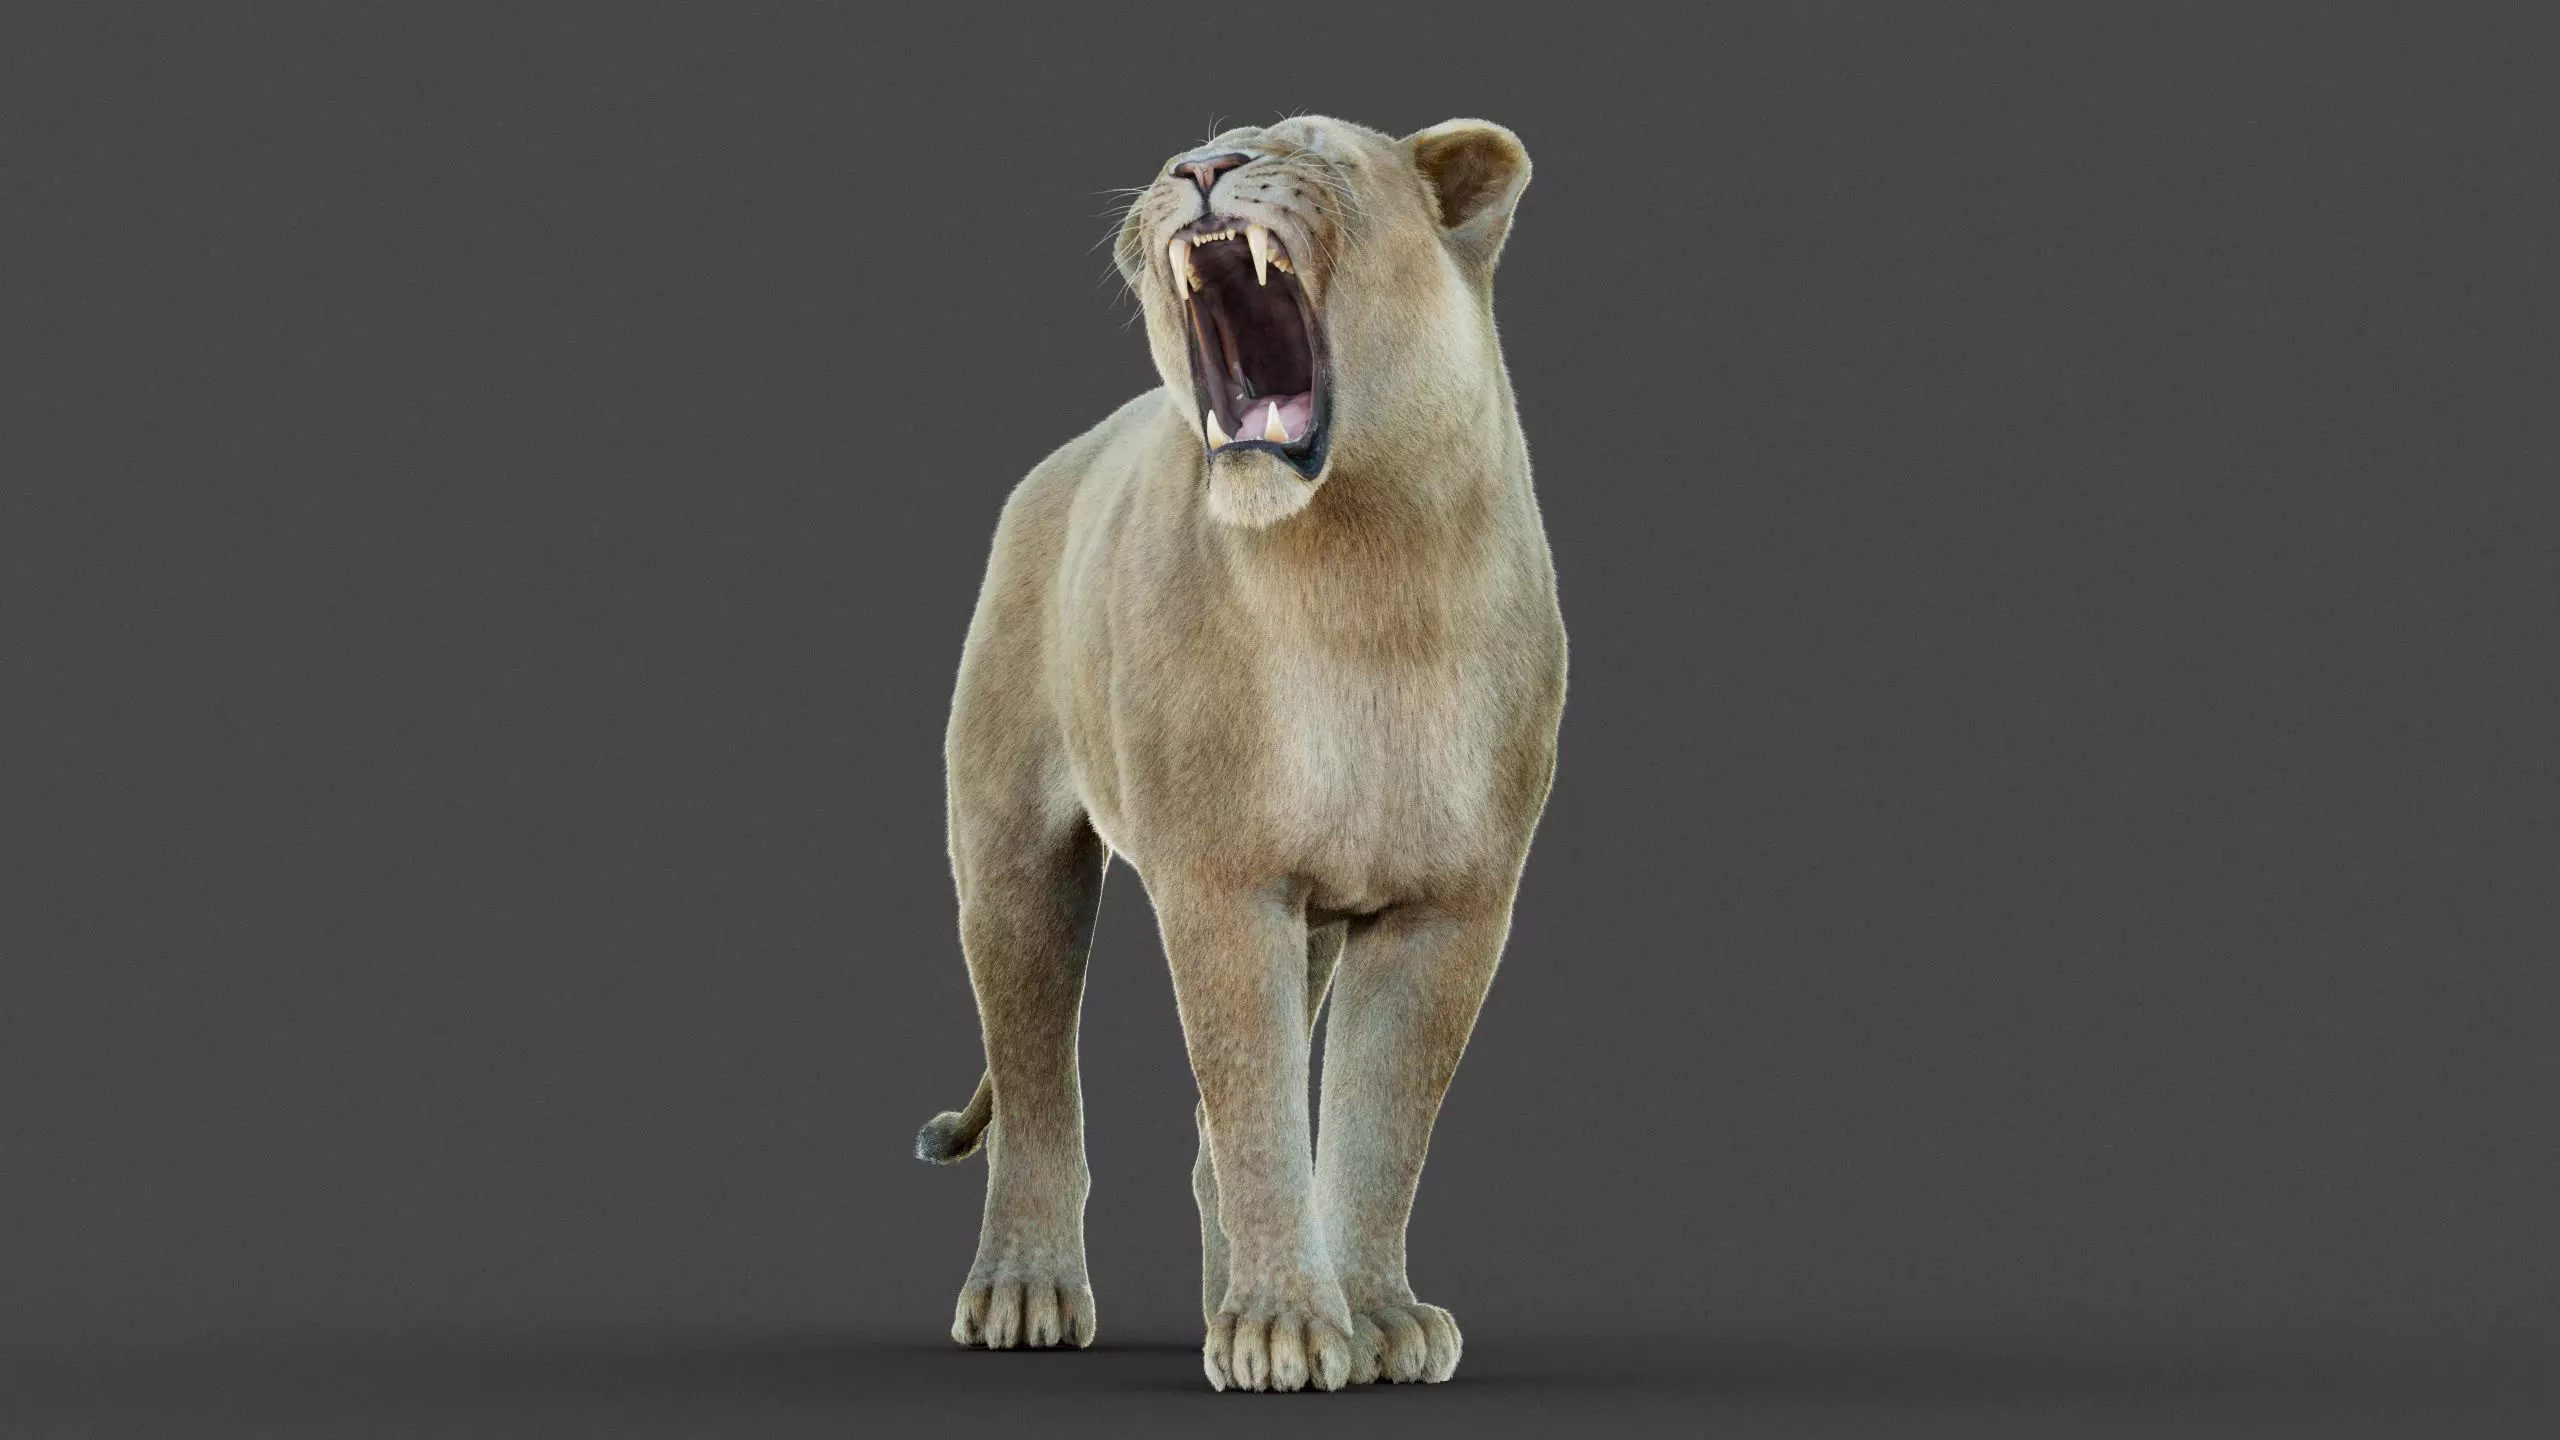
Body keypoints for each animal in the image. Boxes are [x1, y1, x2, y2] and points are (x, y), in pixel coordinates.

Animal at [912, 114, 1566, 1393]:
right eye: (1194, 152)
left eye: (1318, 153)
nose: (1199, 170)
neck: (1367, 567)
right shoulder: (1223, 885)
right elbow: (1259, 1105)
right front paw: (1284, 1331)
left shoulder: (1453, 907)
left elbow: (1378, 1124)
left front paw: (1373, 1321)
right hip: (1012, 861)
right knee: (1036, 1082)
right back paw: (1024, 1292)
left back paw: (1230, 1299)